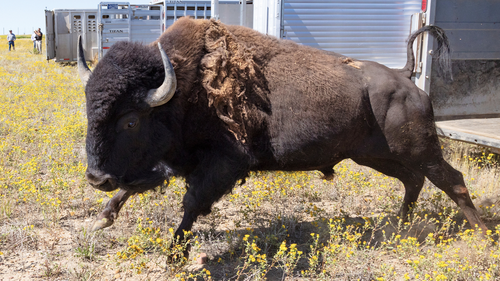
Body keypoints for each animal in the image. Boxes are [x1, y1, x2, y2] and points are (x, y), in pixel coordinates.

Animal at [79, 17, 488, 242]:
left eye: (131, 119)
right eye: (87, 109)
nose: (97, 178)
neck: (181, 87)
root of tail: (405, 78)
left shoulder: (225, 165)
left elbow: (192, 202)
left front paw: (174, 251)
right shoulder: (171, 163)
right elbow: (133, 187)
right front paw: (99, 221)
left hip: (420, 150)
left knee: (452, 180)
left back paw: (481, 235)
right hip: (375, 156)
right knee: (413, 180)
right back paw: (397, 226)